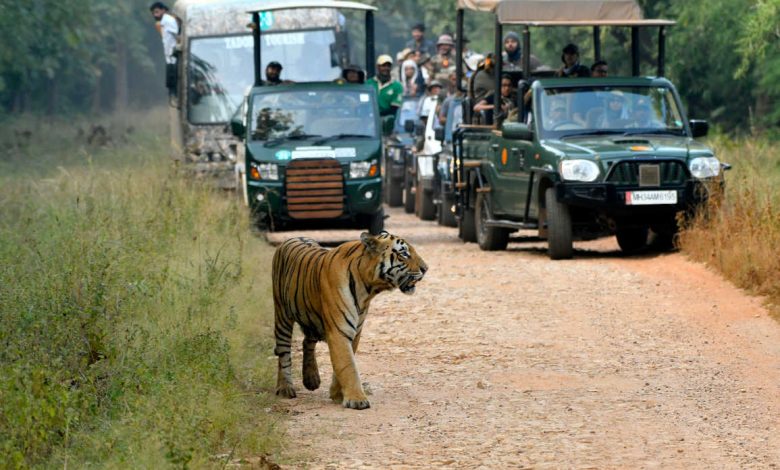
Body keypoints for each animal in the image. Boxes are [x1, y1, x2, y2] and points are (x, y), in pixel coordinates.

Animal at [270, 230, 426, 408]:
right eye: (404, 254)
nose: (425, 269)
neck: (368, 288)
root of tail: (291, 238)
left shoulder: (355, 331)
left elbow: (343, 363)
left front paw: (337, 394)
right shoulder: (340, 330)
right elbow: (347, 365)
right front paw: (357, 399)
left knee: (307, 341)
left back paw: (312, 379)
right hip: (282, 315)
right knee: (283, 353)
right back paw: (285, 388)